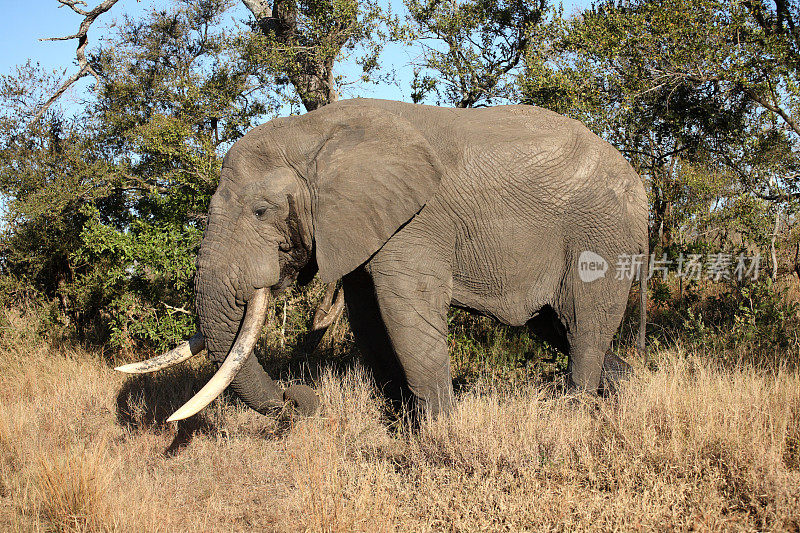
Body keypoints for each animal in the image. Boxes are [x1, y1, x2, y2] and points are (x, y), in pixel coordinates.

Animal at [115, 96, 648, 420]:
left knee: (582, 328)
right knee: (559, 327)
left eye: (261, 211)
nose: (299, 398)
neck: (315, 132)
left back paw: (575, 416)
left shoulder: (417, 221)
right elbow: (369, 319)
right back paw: (625, 394)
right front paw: (398, 420)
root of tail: (639, 181)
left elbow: (404, 316)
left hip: (600, 234)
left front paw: (439, 436)